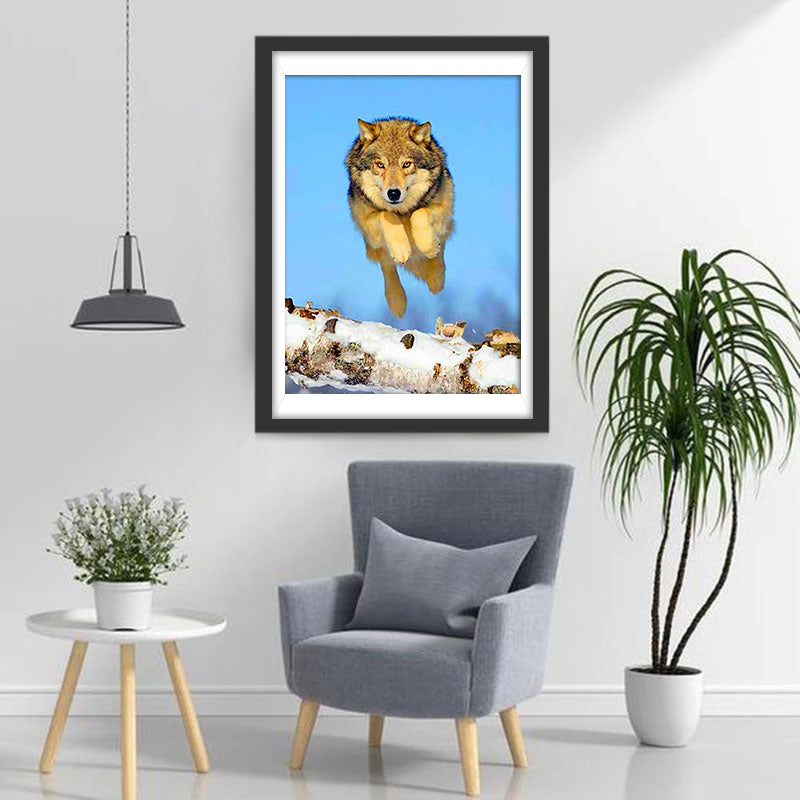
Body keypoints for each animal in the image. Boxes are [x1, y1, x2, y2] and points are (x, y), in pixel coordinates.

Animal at [345, 117, 454, 318]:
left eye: (406, 164)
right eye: (380, 165)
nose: (394, 193)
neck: (402, 211)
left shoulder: (443, 206)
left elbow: (419, 213)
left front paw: (428, 247)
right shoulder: (367, 222)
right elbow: (386, 214)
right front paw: (402, 249)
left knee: (440, 246)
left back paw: (435, 277)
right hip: (374, 246)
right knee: (387, 265)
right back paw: (397, 301)